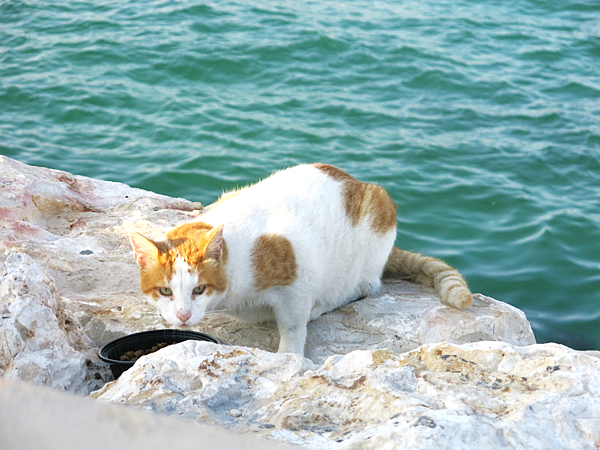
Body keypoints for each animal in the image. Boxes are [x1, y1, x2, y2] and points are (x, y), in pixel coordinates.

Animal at [129, 163, 472, 356]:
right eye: (165, 291)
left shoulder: (299, 268)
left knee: (363, 287)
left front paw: (289, 356)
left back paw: (321, 305)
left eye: (199, 289)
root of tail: (359, 182)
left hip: (372, 229)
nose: (183, 315)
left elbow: (293, 325)